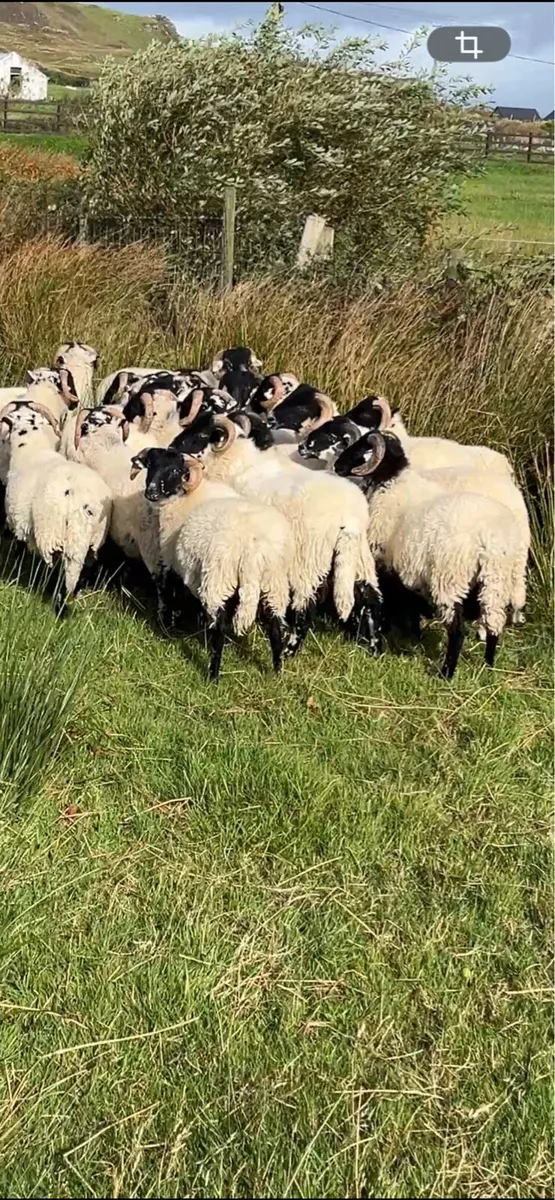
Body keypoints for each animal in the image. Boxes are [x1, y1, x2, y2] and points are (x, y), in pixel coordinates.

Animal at [1, 402, 111, 608]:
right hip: (94, 539)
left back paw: (59, 601)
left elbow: (19, 551)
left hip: (52, 532)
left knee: (64, 569)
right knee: (83, 569)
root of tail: (82, 503)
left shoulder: (19, 522)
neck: (31, 448)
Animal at [129, 448, 295, 679]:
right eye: (151, 465)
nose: (151, 492)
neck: (186, 497)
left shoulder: (171, 561)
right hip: (274, 582)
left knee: (220, 627)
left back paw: (213, 675)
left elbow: (170, 595)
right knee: (275, 627)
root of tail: (254, 548)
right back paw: (277, 671)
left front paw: (167, 628)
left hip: (219, 577)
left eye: (175, 470)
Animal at [173, 414, 382, 656]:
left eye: (200, 435)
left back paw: (289, 650)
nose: (173, 447)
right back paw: (375, 647)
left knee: (306, 605)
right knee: (370, 597)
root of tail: (350, 517)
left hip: (308, 559)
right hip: (359, 555)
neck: (236, 463)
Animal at [334, 430, 524, 679]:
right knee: (494, 622)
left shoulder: (386, 561)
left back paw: (446, 673)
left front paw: (388, 629)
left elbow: (392, 598)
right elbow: (411, 602)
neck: (391, 481)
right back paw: (489, 665)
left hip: (450, 579)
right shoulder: (411, 569)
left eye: (363, 448)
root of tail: (490, 538)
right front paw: (414, 634)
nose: (337, 466)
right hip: (496, 581)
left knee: (457, 630)